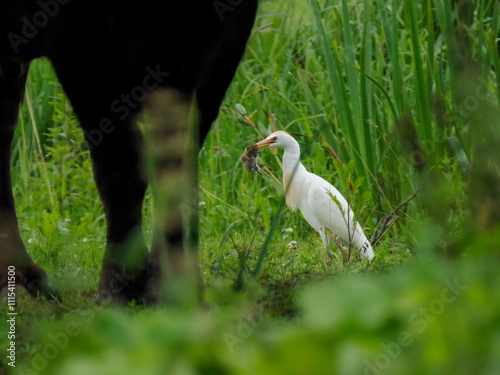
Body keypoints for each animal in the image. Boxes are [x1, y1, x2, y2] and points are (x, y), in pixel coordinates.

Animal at [0, 0, 258, 304]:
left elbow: (178, 164)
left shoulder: (225, 37)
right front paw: (122, 282)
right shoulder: (78, 38)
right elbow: (120, 164)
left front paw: (177, 281)